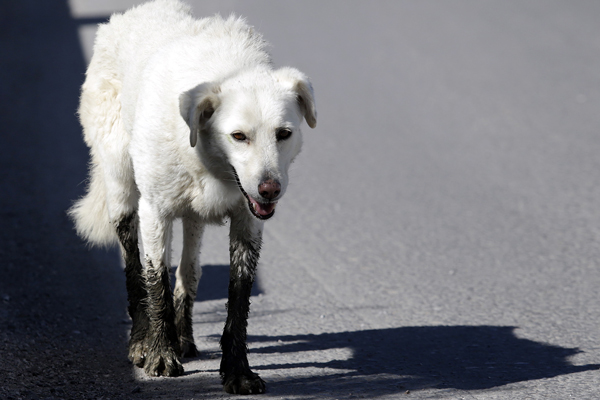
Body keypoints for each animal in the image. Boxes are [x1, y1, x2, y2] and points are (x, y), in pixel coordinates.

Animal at [68, 0, 316, 394]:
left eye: (284, 134)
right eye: (239, 136)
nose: (269, 189)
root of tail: (129, 14)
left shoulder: (248, 223)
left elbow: (238, 298)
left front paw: (237, 372)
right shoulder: (154, 212)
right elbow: (156, 281)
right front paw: (160, 356)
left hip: (194, 216)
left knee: (189, 269)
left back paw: (184, 337)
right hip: (122, 187)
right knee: (133, 266)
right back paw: (142, 341)